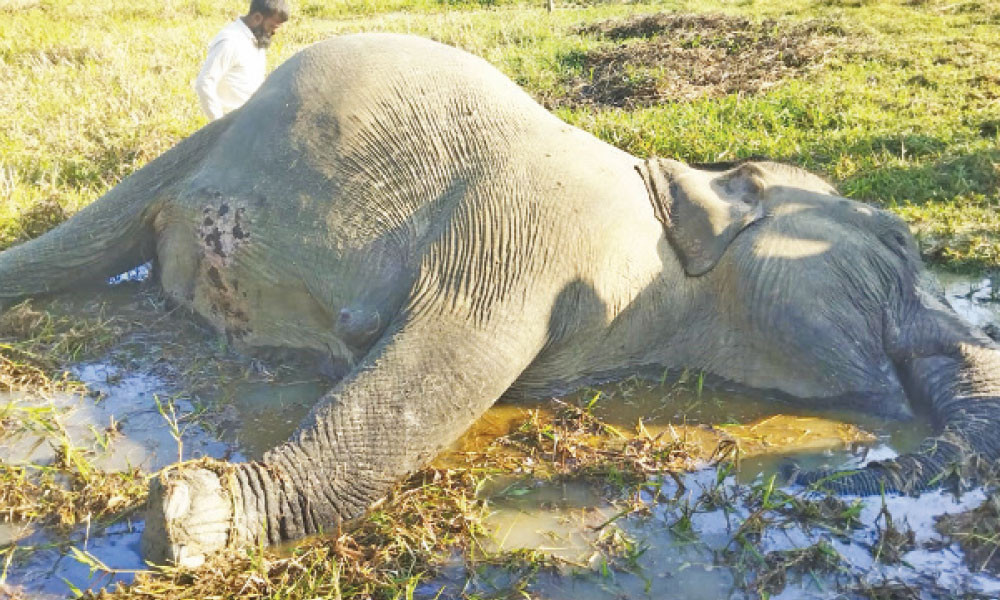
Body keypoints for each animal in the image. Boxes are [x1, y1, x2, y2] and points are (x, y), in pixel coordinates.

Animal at [1, 32, 1000, 568]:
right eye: (899, 242)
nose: (804, 474)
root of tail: (215, 129)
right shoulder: (524, 231)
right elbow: (431, 370)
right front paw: (184, 521)